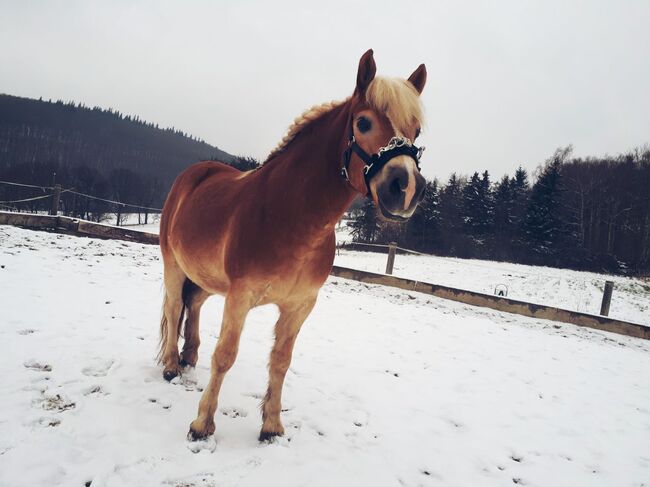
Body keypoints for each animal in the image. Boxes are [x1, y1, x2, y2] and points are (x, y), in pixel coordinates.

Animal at [159, 49, 428, 442]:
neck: (291, 216)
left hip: (208, 277)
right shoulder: (240, 297)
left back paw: (188, 357)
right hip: (174, 266)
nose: (405, 188)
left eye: (416, 130)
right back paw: (169, 365)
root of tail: (195, 174)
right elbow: (225, 355)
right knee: (175, 306)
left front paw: (271, 426)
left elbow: (281, 361)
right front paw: (202, 424)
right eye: (363, 123)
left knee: (192, 305)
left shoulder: (300, 305)